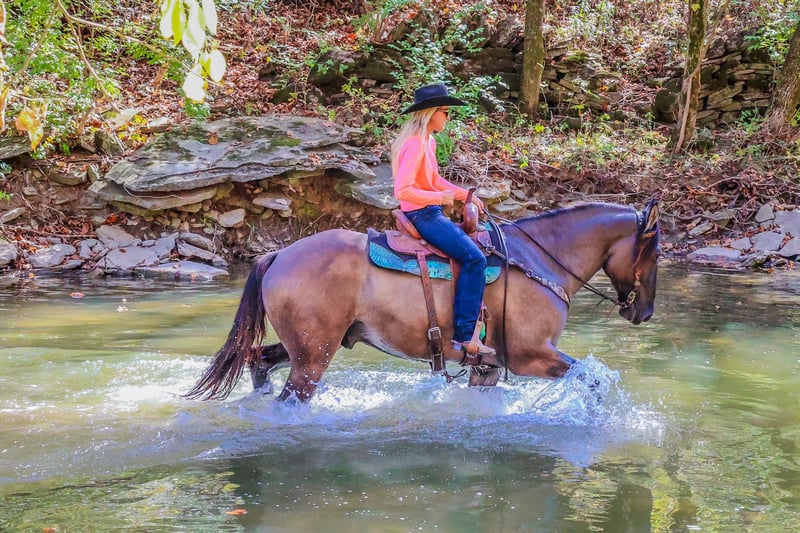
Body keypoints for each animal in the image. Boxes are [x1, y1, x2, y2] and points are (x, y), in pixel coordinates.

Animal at [185, 199, 661, 403]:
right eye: (656, 253)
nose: (646, 312)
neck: (535, 259)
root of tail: (279, 254)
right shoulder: (530, 356)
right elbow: (591, 378)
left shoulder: (488, 367)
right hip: (313, 357)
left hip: (308, 345)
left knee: (259, 361)